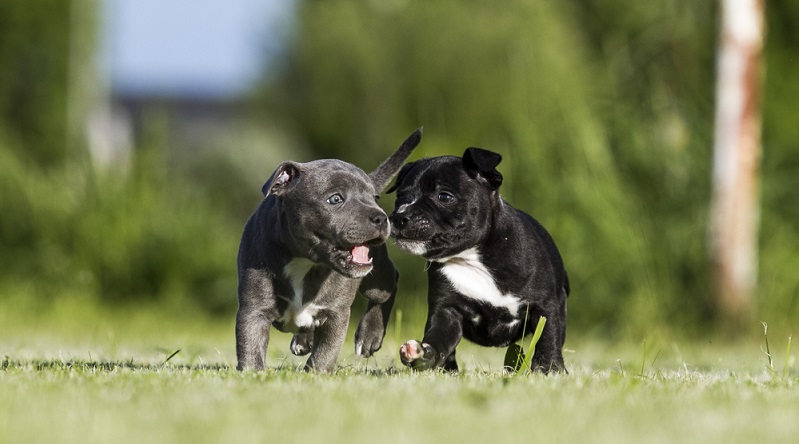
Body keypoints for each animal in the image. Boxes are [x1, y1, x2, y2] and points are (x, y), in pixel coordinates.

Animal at [236, 128, 422, 372]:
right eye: (335, 199)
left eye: (375, 198)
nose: (381, 217)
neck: (306, 262)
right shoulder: (253, 309)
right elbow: (251, 346)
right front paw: (252, 373)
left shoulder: (336, 314)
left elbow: (326, 352)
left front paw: (317, 373)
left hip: (376, 280)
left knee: (389, 287)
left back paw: (369, 336)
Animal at [392, 147, 568, 372]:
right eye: (400, 196)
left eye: (445, 196)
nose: (399, 216)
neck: (471, 259)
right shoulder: (446, 312)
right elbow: (439, 338)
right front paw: (424, 354)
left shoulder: (544, 306)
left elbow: (548, 338)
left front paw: (549, 369)